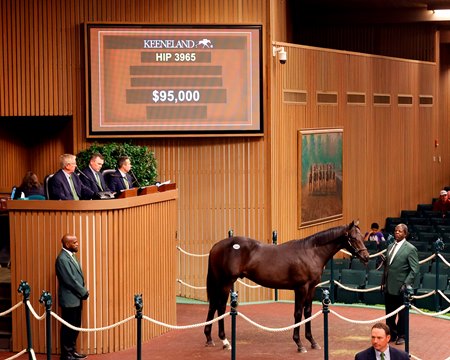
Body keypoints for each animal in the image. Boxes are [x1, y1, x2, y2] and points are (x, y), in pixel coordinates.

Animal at [204, 221, 370, 352]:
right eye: (353, 238)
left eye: (362, 237)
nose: (366, 257)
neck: (311, 252)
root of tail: (216, 246)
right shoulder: (301, 288)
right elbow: (298, 313)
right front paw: (299, 344)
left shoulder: (311, 288)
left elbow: (308, 312)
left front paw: (312, 342)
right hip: (226, 283)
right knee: (220, 307)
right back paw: (225, 341)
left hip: (219, 283)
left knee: (213, 306)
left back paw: (209, 338)